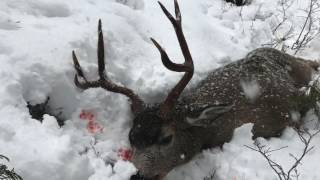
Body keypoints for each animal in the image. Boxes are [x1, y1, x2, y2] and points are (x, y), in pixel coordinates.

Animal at [70, 0, 320, 179]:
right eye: (131, 137)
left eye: (166, 138)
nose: (137, 176)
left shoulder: (283, 118)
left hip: (299, 68)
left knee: (310, 64)